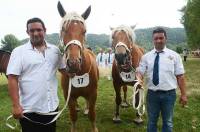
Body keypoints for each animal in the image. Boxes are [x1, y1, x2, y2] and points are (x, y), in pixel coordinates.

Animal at [57, 2, 98, 132]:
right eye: (63, 29)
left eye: (84, 31)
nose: (73, 63)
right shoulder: (68, 95)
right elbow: (73, 116)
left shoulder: (93, 93)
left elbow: (92, 114)